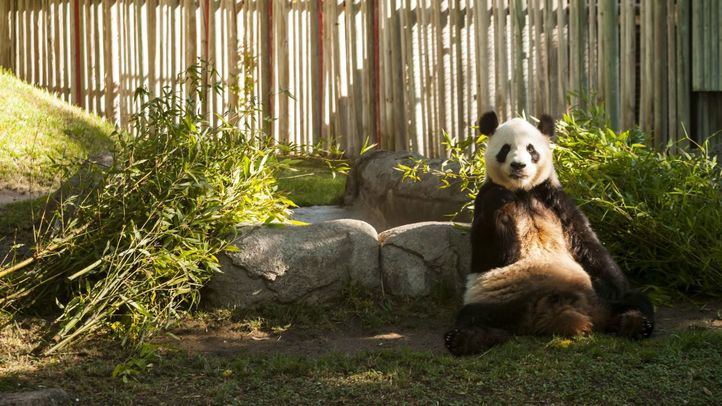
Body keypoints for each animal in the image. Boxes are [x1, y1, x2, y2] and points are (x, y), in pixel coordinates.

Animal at [444, 111, 655, 356]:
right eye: (505, 149)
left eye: (531, 149)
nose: (518, 165)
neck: (522, 192)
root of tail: (548, 313)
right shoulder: (485, 200)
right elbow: (492, 253)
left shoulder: (553, 197)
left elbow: (586, 240)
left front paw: (620, 285)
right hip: (494, 301)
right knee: (473, 317)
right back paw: (465, 340)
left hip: (595, 295)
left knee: (632, 302)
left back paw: (634, 324)